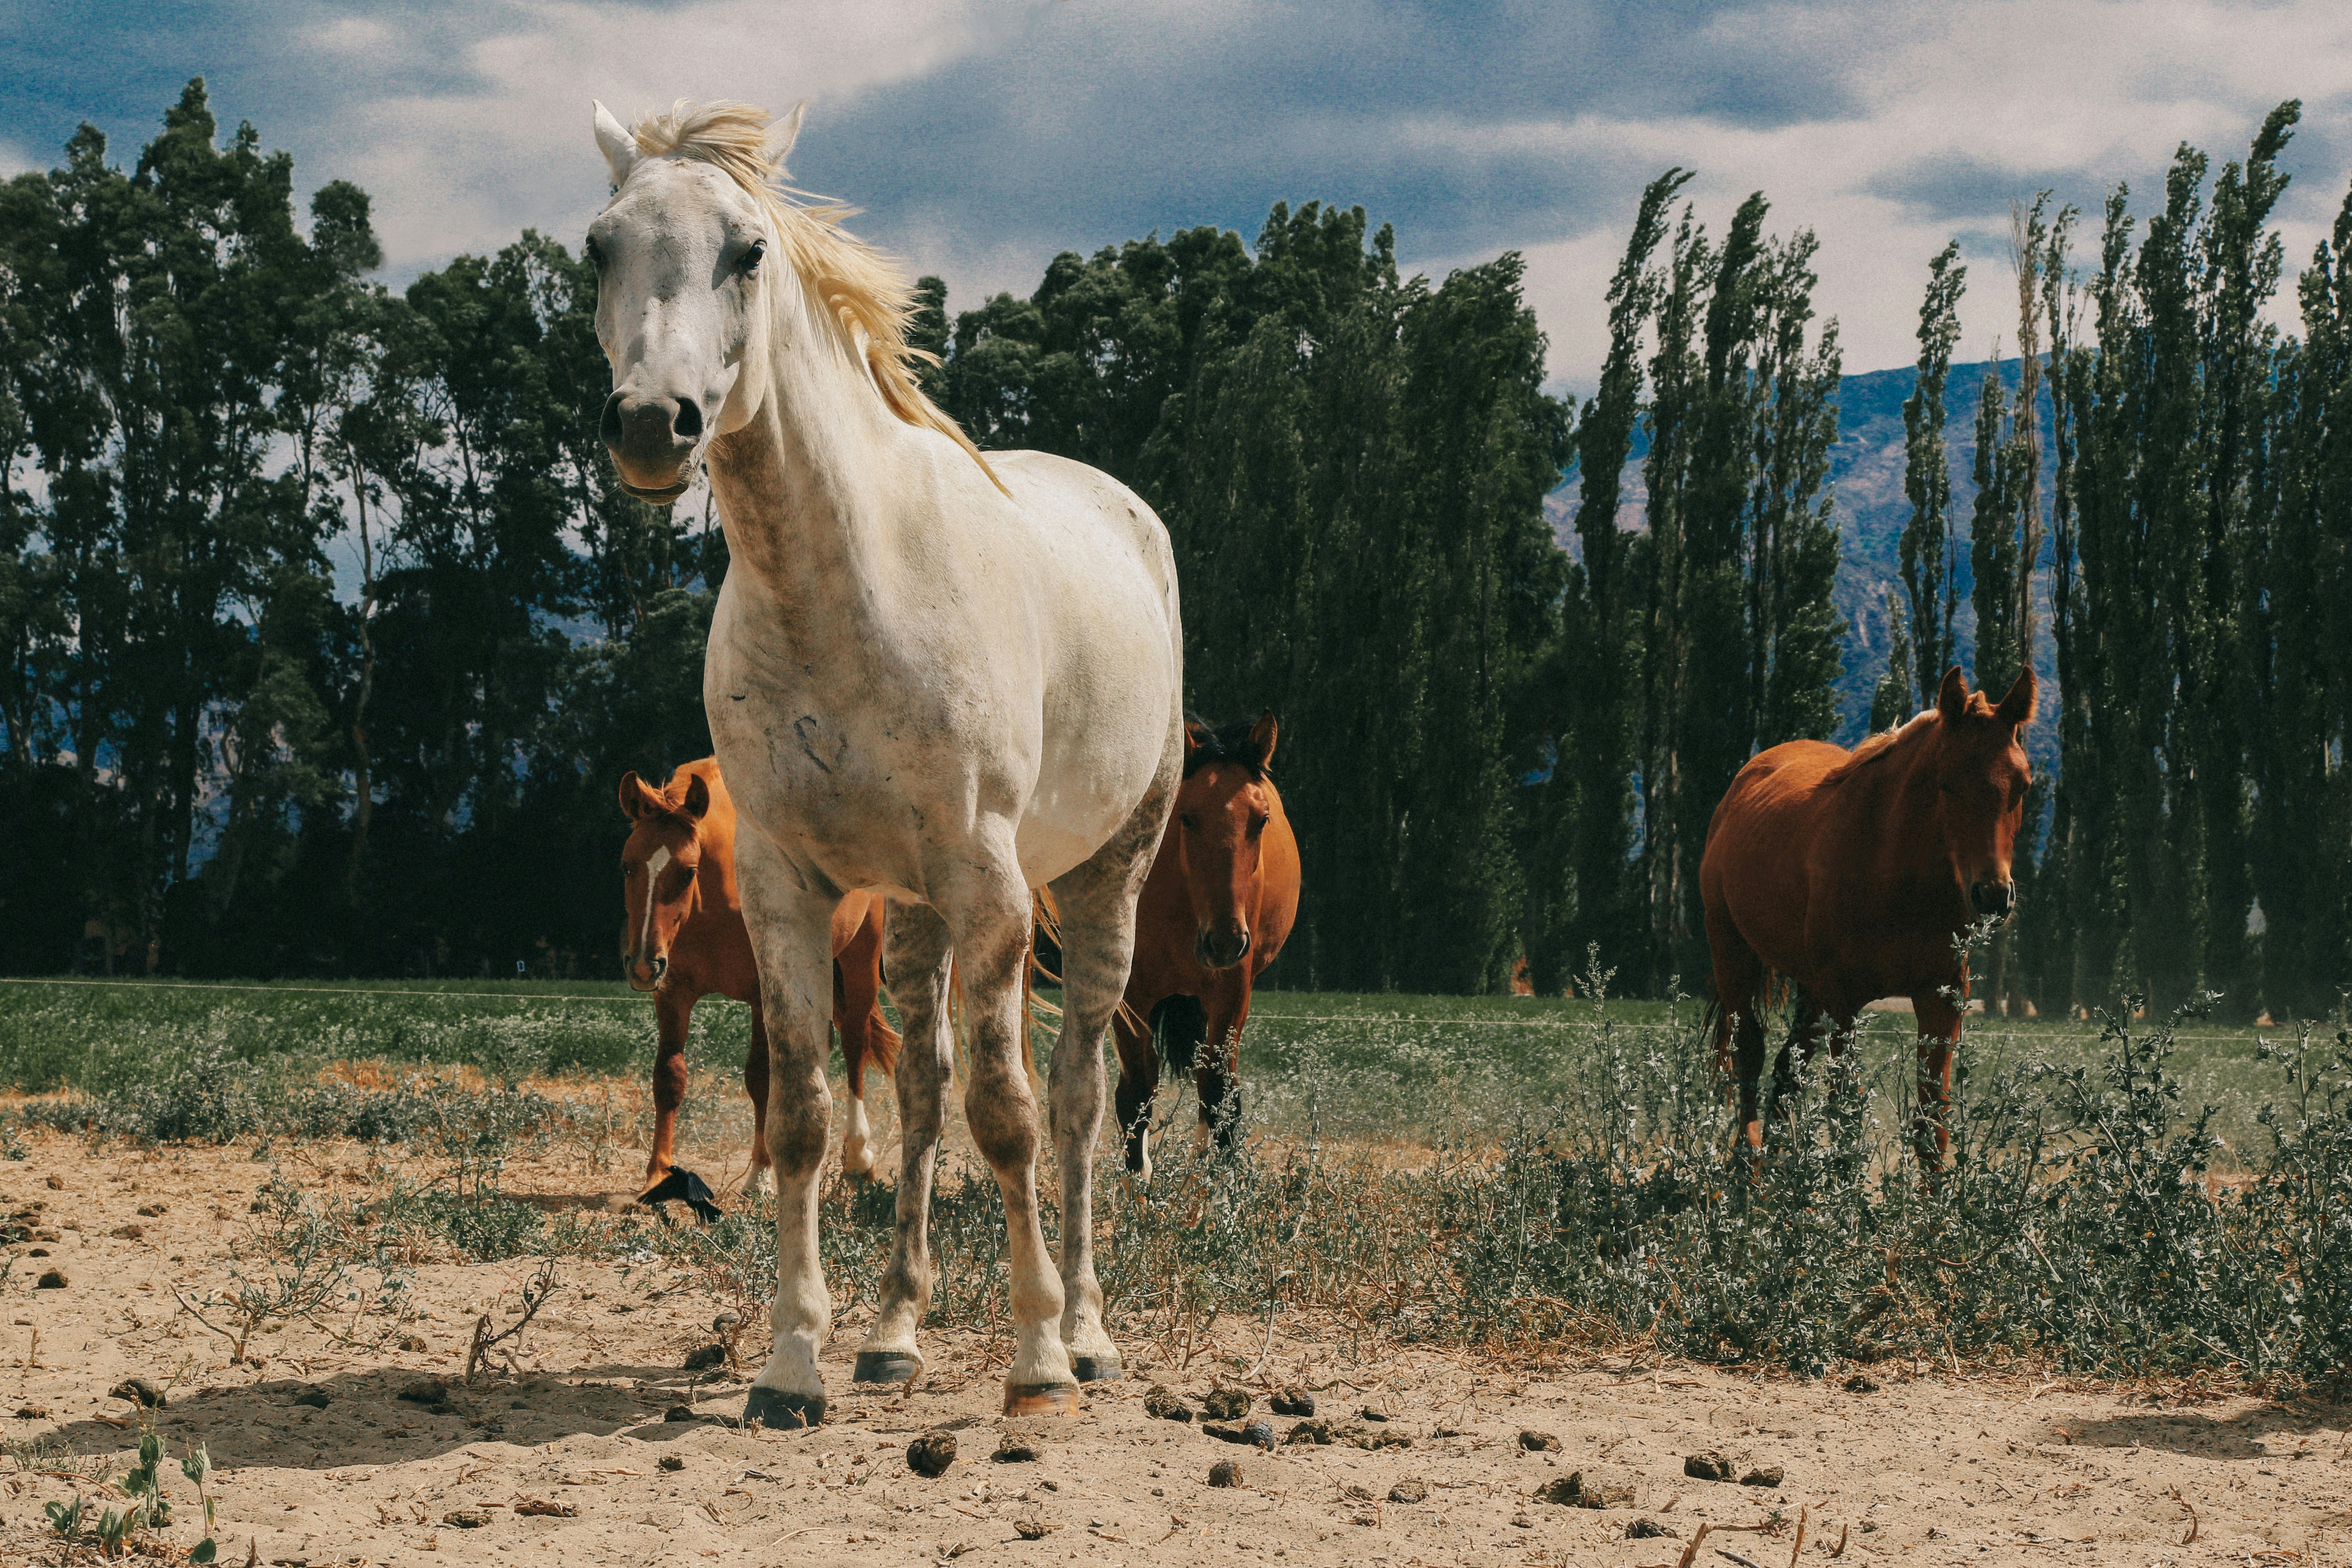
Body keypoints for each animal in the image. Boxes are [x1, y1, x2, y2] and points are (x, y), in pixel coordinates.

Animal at [619, 759, 901, 1199]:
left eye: (688, 872)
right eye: (627, 865)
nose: (643, 966)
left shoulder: (759, 995)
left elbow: (760, 1079)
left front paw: (761, 1175)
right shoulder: (672, 993)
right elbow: (669, 1077)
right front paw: (657, 1176)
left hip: (860, 963)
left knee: (856, 1046)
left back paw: (858, 1160)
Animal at [1111, 714, 1300, 1177]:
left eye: (1261, 820)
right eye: (1187, 817)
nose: (1226, 941)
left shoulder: (1231, 989)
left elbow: (1220, 1096)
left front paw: (1215, 1188)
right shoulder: (1129, 996)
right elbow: (1135, 1096)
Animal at [1699, 665, 2035, 1162]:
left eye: (2023, 785)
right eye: (1947, 783)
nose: (1993, 895)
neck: (1895, 878)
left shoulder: (1942, 997)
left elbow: (1930, 1124)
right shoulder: (1843, 1002)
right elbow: (1845, 1119)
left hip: (1810, 994)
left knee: (1786, 1070)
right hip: (1734, 956)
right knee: (1751, 1055)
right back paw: (1749, 1165)